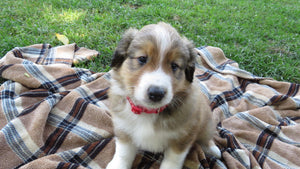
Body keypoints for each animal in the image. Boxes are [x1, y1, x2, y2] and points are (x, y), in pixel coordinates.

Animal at [106, 22, 220, 169]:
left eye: (174, 65)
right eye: (142, 58)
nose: (156, 93)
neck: (148, 111)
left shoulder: (183, 137)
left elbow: (173, 160)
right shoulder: (123, 128)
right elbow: (123, 152)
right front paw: (118, 165)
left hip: (206, 120)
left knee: (206, 137)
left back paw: (213, 149)